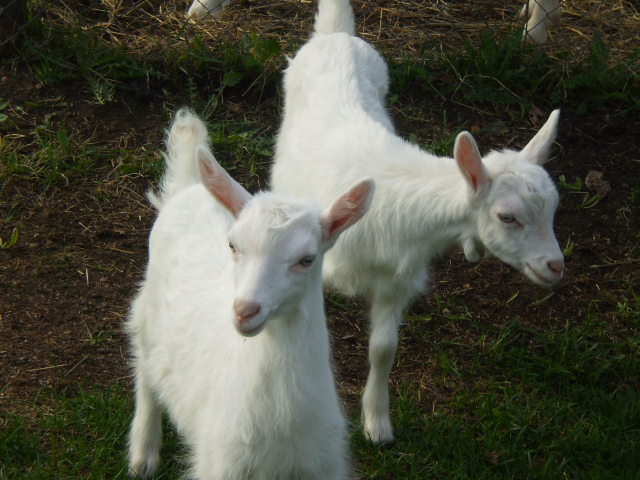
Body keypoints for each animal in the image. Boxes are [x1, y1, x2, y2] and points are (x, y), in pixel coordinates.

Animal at [126, 108, 374, 479]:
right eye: (233, 245)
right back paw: (143, 453)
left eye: (307, 259)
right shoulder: (221, 463)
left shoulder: (321, 463)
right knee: (144, 364)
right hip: (147, 306)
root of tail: (190, 186)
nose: (245, 310)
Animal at [271, 0, 564, 445]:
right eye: (507, 216)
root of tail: (335, 36)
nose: (556, 266)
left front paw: (377, 424)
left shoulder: (397, 282)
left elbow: (383, 349)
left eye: (553, 209)